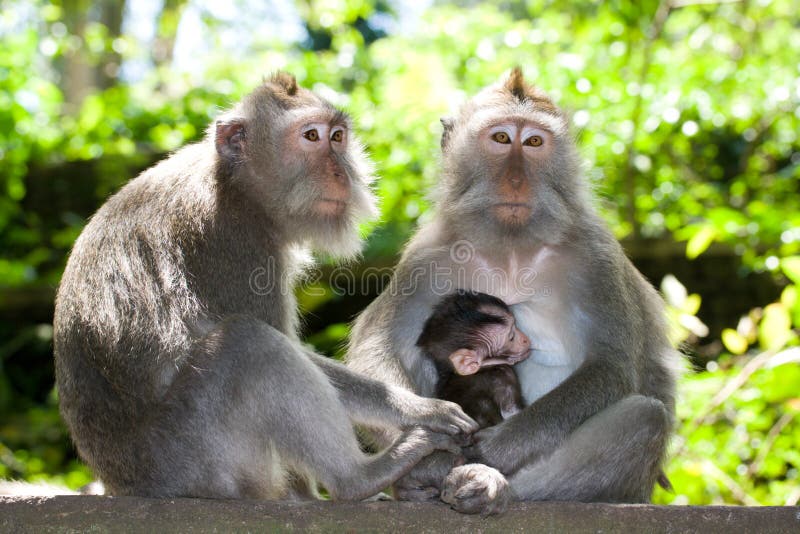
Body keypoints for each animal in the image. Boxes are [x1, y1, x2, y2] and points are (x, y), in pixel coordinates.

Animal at [53, 71, 478, 502]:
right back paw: (360, 478)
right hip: (189, 459)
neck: (237, 184)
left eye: (338, 137)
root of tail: (123, 483)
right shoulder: (236, 242)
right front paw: (419, 408)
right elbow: (280, 341)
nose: (340, 173)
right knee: (249, 342)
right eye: (311, 136)